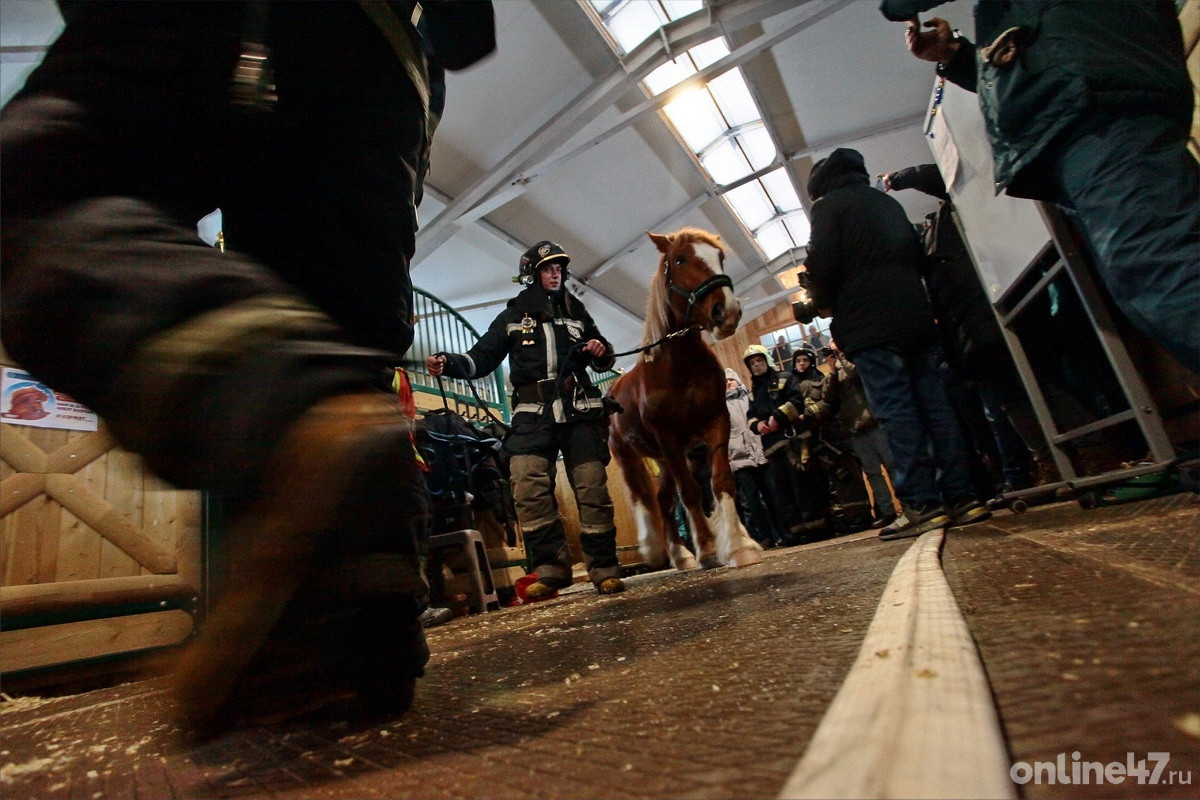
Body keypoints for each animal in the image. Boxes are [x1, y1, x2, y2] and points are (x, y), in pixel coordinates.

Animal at [609, 227, 758, 573]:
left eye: (720, 256)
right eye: (679, 259)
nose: (727, 311)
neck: (680, 366)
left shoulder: (716, 422)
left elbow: (720, 481)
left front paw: (740, 546)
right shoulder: (668, 438)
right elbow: (690, 491)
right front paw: (708, 549)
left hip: (664, 461)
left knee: (663, 501)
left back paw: (681, 555)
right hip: (629, 454)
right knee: (642, 496)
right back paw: (656, 550)